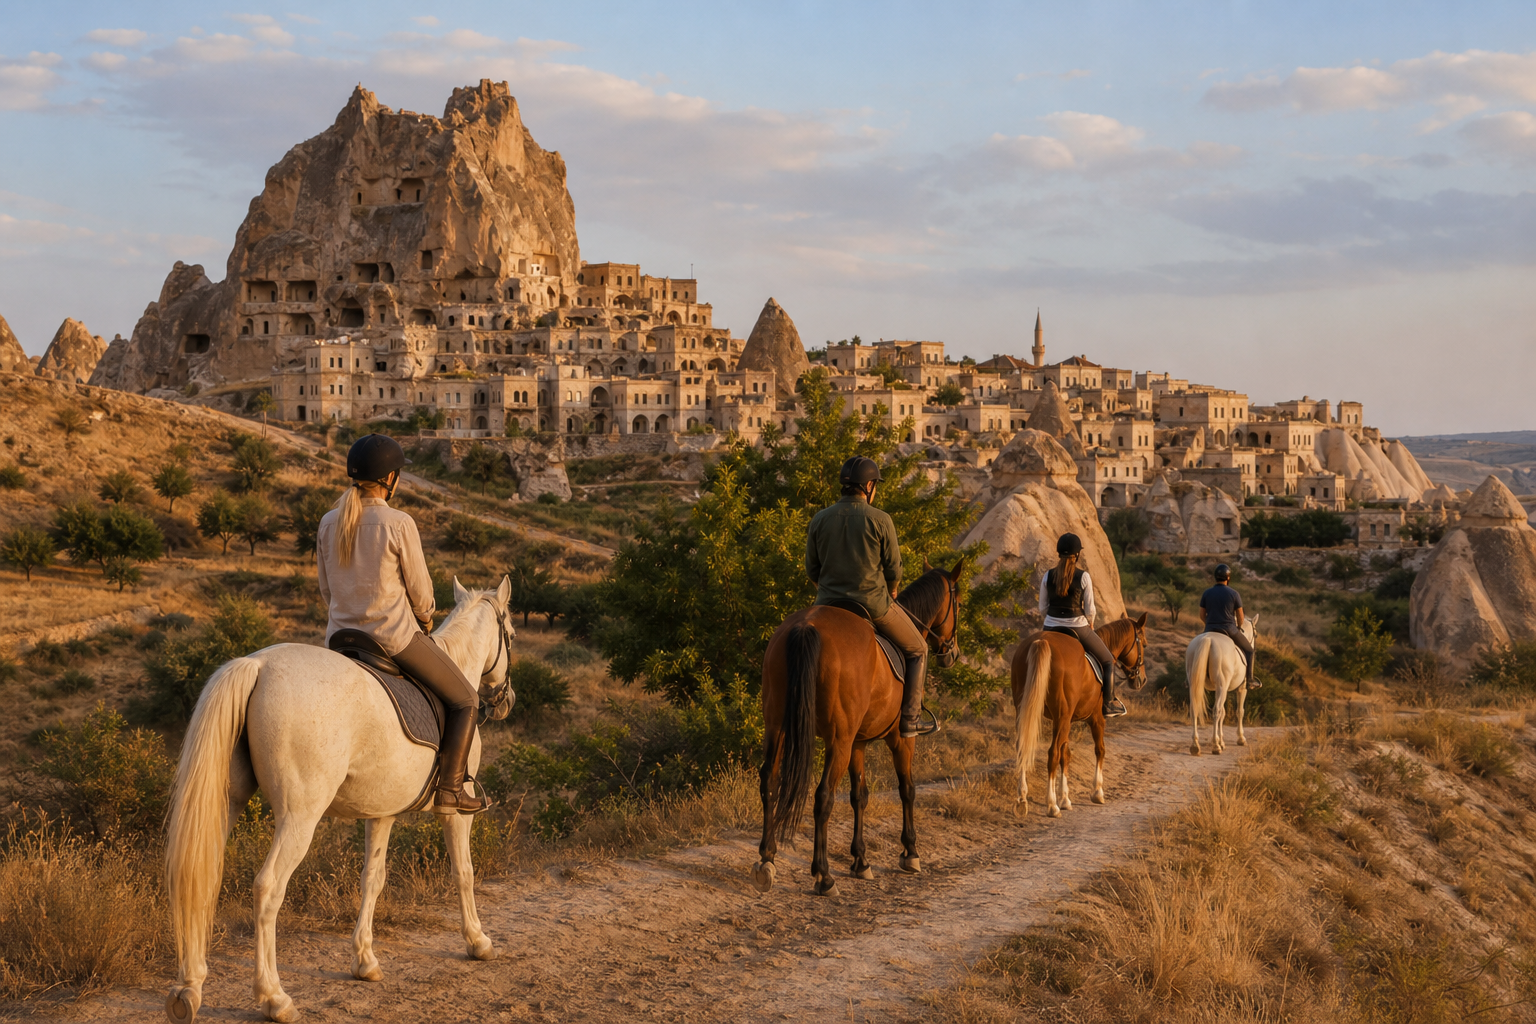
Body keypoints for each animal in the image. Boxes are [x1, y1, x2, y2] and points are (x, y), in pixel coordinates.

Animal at [162, 578, 515, 1023]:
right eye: (511, 634)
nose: (506, 702)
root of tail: (257, 666)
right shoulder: (454, 813)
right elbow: (464, 873)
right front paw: (478, 941)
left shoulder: (381, 813)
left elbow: (372, 878)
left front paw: (365, 960)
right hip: (300, 818)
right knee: (267, 888)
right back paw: (274, 997)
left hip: (228, 803)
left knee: (199, 875)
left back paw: (188, 988)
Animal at [750, 559, 966, 897]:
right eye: (958, 604)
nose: (952, 653)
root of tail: (807, 626)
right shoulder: (900, 740)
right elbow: (907, 789)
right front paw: (910, 853)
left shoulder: (858, 743)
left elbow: (859, 796)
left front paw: (861, 860)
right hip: (838, 740)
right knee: (823, 796)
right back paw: (823, 875)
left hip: (777, 729)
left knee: (770, 782)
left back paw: (767, 859)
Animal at [1010, 613, 1149, 817]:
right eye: (1144, 645)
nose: (1142, 680)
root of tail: (1041, 641)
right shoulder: (1096, 719)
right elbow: (1100, 750)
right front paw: (1097, 793)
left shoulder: (1065, 720)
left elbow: (1066, 754)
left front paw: (1065, 799)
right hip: (1063, 717)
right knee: (1052, 753)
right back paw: (1051, 806)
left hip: (1031, 712)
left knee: (1024, 747)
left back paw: (1022, 800)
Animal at [1185, 614, 1259, 756]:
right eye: (1256, 635)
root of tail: (1208, 640)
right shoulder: (1241, 689)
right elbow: (1239, 711)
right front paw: (1240, 738)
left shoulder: (1219, 689)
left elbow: (1224, 713)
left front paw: (1222, 741)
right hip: (1222, 687)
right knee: (1216, 711)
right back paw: (1215, 746)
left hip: (1197, 685)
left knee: (1194, 709)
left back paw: (1195, 745)